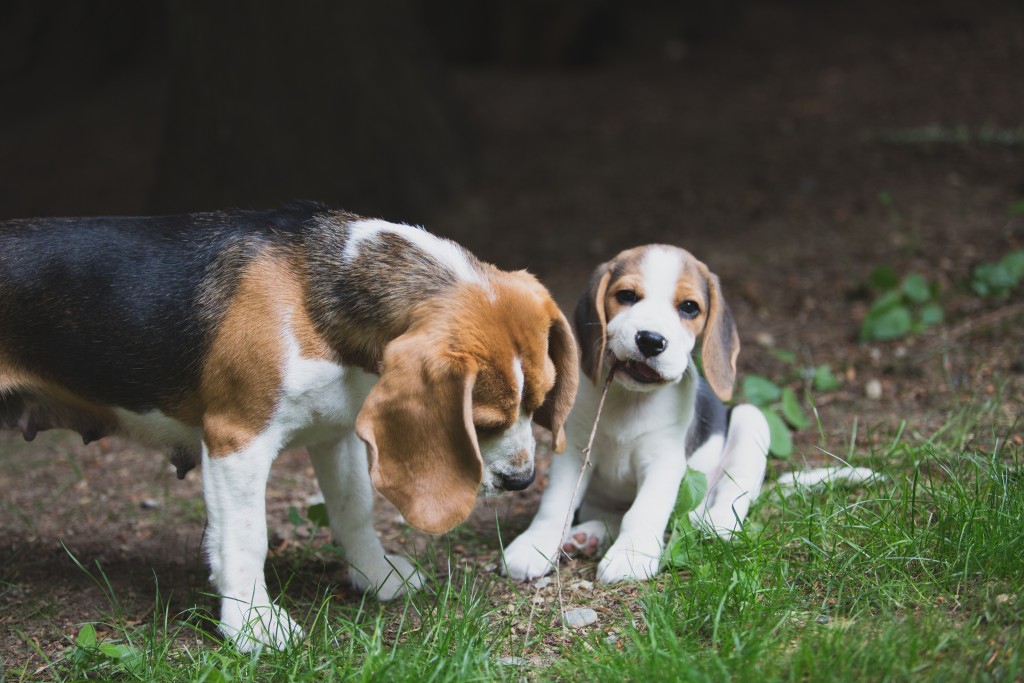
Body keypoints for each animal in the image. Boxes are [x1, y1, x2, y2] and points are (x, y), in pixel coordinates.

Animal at [0, 200, 577, 651]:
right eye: (484, 422)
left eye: (540, 402)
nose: (522, 480)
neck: (318, 293)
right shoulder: (237, 441)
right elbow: (246, 538)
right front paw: (253, 626)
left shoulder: (337, 433)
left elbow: (353, 511)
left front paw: (376, 577)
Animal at [503, 242, 770, 585]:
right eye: (627, 295)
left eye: (689, 307)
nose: (651, 340)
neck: (631, 398)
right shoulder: (575, 452)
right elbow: (556, 504)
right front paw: (534, 545)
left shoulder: (664, 460)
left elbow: (645, 510)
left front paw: (631, 556)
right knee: (613, 516)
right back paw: (587, 536)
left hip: (751, 419)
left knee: (732, 494)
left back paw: (715, 521)